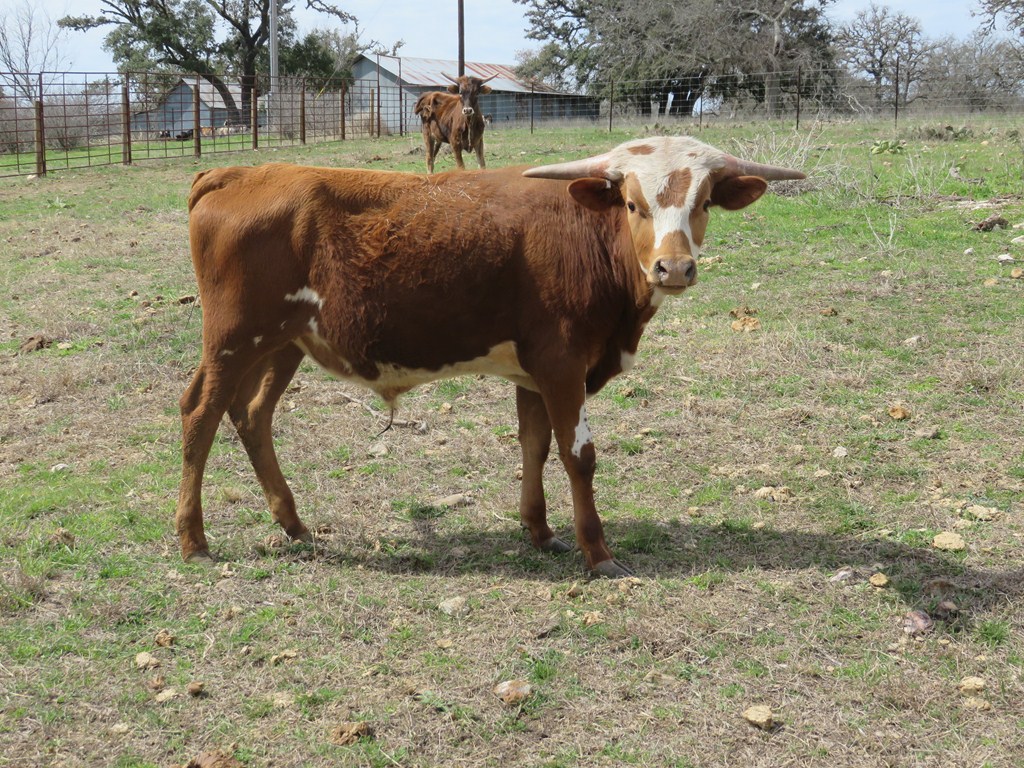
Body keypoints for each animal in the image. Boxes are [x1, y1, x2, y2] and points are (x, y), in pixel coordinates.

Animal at [177, 136, 805, 577]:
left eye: (703, 203)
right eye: (632, 203)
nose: (672, 268)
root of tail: (237, 172)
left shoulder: (534, 372)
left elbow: (535, 445)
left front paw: (540, 531)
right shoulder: (562, 364)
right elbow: (579, 456)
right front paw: (597, 551)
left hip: (283, 343)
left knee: (251, 415)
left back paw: (293, 524)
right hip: (233, 338)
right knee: (200, 415)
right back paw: (193, 539)